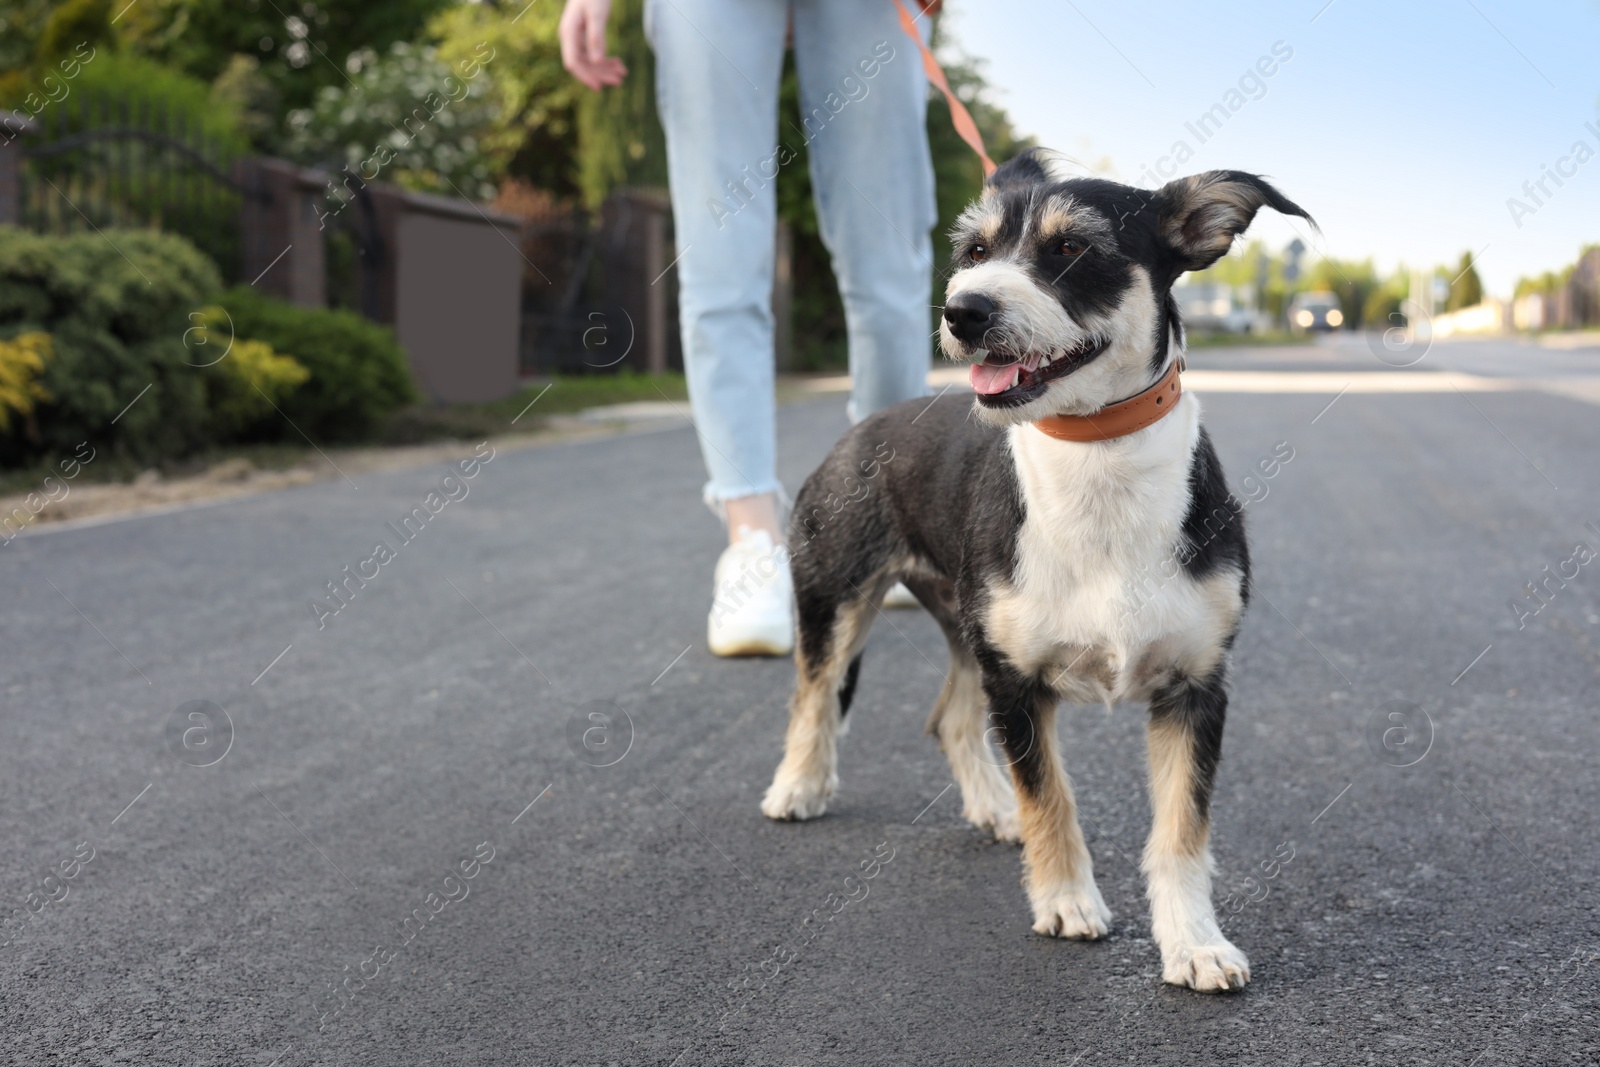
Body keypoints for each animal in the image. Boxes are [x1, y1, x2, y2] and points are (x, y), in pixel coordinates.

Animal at [761, 150, 1312, 991]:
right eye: (974, 251)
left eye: (1072, 248)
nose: (963, 311)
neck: (1099, 460)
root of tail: (867, 426)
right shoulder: (1018, 682)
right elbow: (1051, 796)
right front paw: (1066, 902)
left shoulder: (1195, 689)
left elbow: (1181, 832)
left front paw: (1194, 941)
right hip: (837, 593)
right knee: (814, 692)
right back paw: (797, 785)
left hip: (966, 623)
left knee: (950, 716)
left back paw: (993, 806)